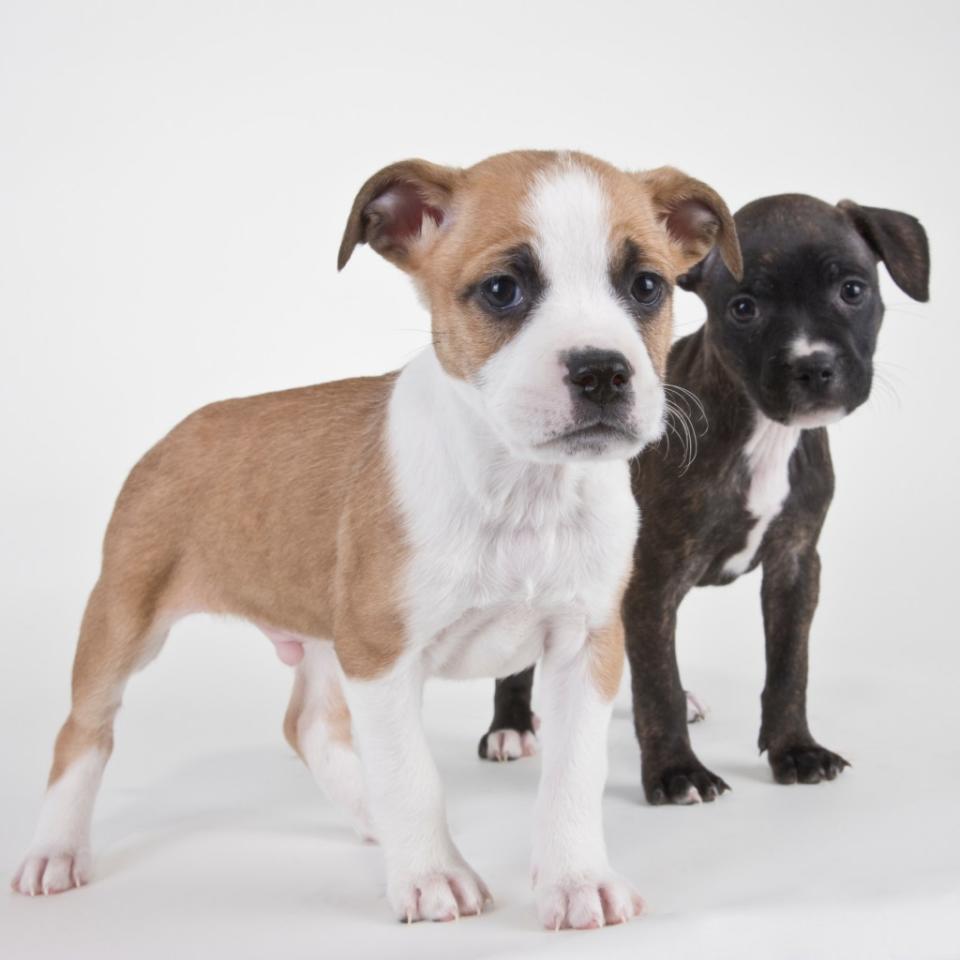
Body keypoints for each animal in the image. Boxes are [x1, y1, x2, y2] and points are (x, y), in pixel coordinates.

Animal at [11, 152, 740, 928]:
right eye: (503, 290)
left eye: (646, 286)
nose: (601, 370)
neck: (520, 487)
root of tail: (176, 432)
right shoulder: (380, 656)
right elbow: (411, 775)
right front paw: (431, 875)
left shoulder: (585, 645)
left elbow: (573, 773)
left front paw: (576, 880)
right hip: (125, 618)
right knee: (84, 732)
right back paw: (55, 850)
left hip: (320, 637)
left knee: (306, 724)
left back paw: (369, 817)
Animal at [480, 193, 928, 804]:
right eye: (743, 308)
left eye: (853, 291)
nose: (813, 366)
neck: (761, 431)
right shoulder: (653, 578)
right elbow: (658, 684)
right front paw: (677, 772)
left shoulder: (795, 566)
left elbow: (789, 668)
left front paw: (796, 750)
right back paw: (510, 725)